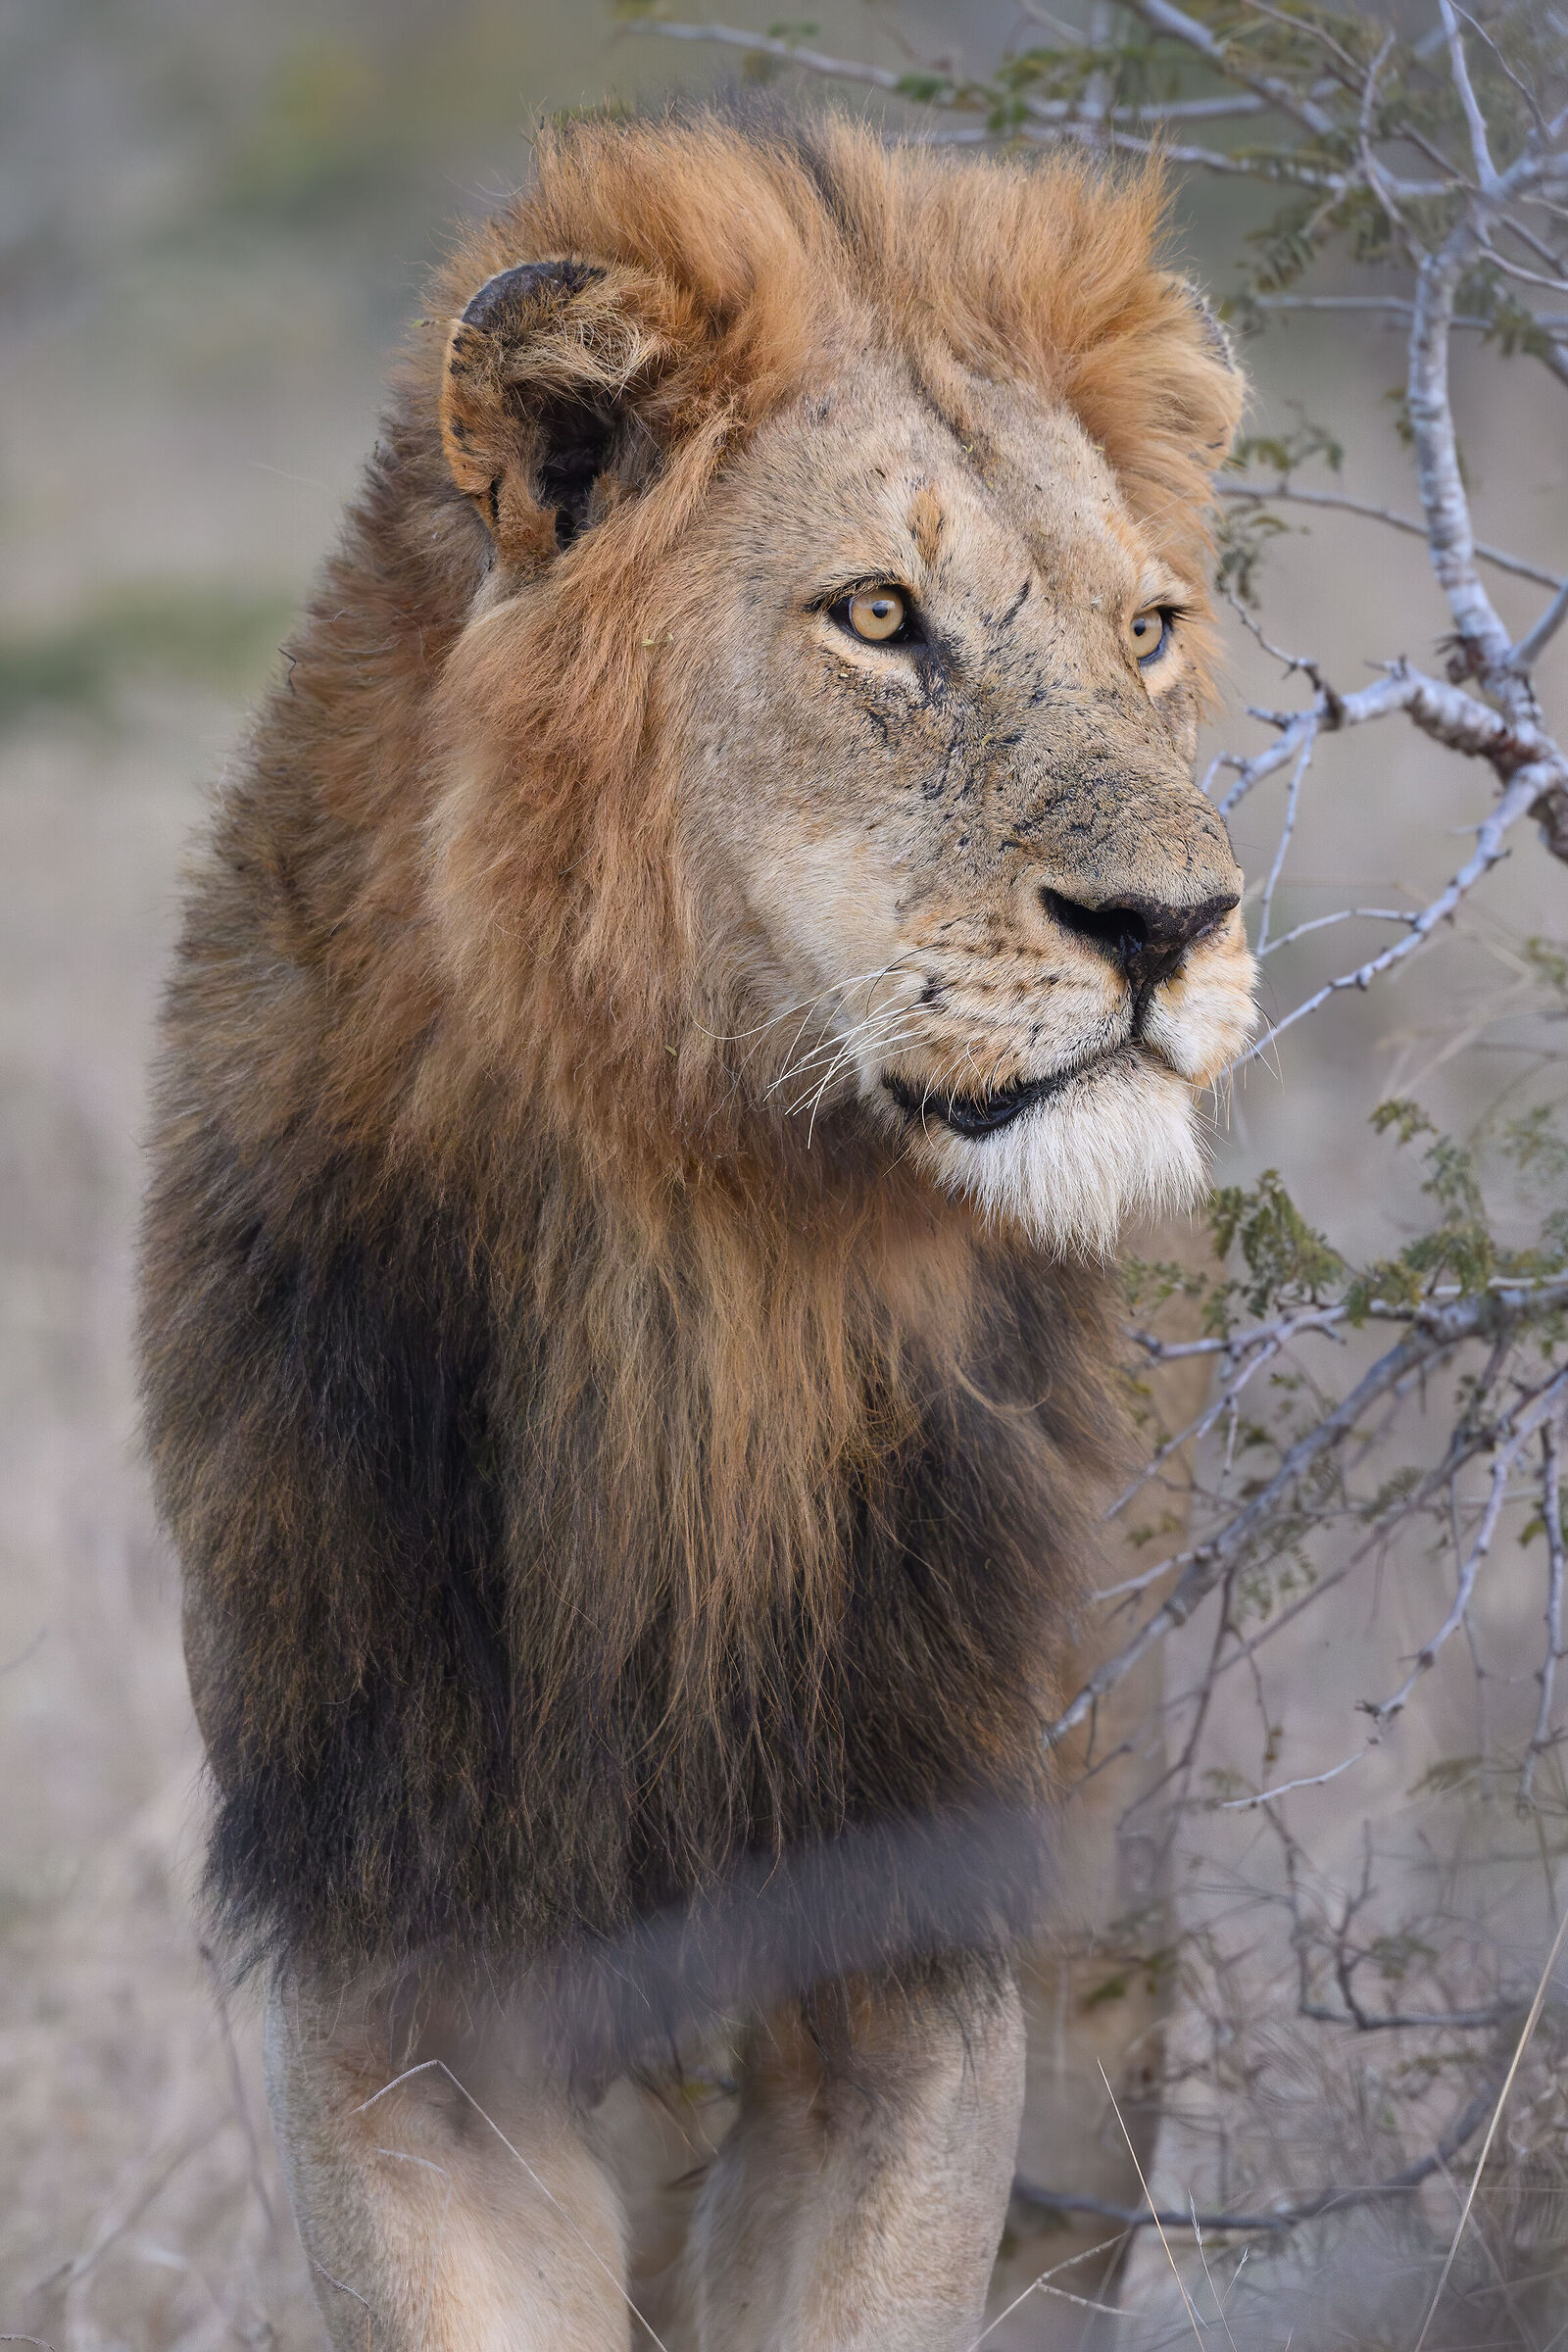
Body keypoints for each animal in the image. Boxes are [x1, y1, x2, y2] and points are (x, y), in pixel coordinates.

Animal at [138, 107, 1254, 2351]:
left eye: (1148, 630)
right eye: (878, 616)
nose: (1171, 926)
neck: (692, 1257)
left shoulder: (914, 1963)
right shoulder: (393, 1978)